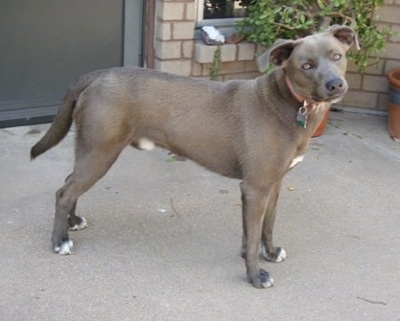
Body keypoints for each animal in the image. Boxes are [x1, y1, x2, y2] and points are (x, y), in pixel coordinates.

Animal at [31, 24, 356, 284]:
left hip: (92, 149)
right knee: (64, 192)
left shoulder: (273, 184)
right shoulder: (255, 187)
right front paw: (254, 275)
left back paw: (72, 222)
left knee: (70, 183)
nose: (336, 84)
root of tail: (97, 75)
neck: (291, 104)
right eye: (306, 66)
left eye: (337, 56)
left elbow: (266, 226)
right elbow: (252, 237)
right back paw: (59, 241)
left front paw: (271, 252)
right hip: (101, 151)